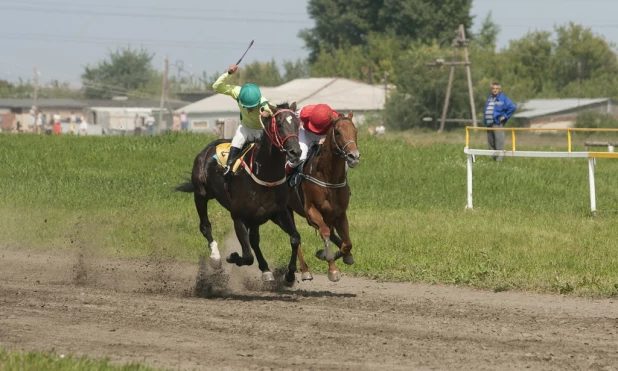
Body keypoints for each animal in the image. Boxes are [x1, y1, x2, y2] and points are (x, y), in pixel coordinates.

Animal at [174, 101, 302, 284]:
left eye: (298, 124)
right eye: (279, 124)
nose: (295, 152)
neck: (264, 174)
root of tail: (208, 148)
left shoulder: (279, 212)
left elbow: (295, 238)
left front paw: (290, 275)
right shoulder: (238, 217)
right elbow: (247, 256)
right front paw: (232, 257)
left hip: (256, 217)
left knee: (254, 240)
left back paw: (266, 269)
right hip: (200, 194)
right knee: (205, 226)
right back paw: (215, 257)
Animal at [286, 110, 358, 282]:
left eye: (356, 131)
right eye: (338, 132)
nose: (354, 156)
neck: (328, 177)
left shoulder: (340, 213)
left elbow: (347, 243)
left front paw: (334, 255)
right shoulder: (311, 211)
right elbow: (324, 232)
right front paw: (332, 268)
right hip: (286, 209)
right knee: (295, 238)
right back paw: (305, 270)